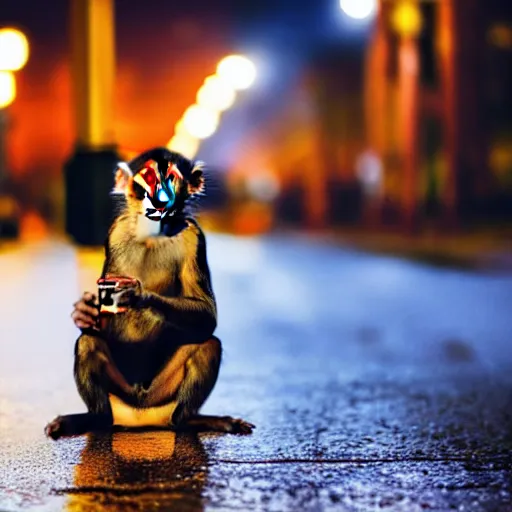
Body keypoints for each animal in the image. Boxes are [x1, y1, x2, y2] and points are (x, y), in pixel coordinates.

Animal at [46, 146, 256, 438]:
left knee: (208, 343)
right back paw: (95, 418)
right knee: (88, 342)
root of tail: (139, 418)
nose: (160, 200)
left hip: (162, 396)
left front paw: (137, 295)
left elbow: (207, 314)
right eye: (146, 179)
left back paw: (189, 420)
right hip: (120, 395)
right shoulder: (116, 231)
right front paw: (85, 311)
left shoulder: (193, 237)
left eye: (171, 178)